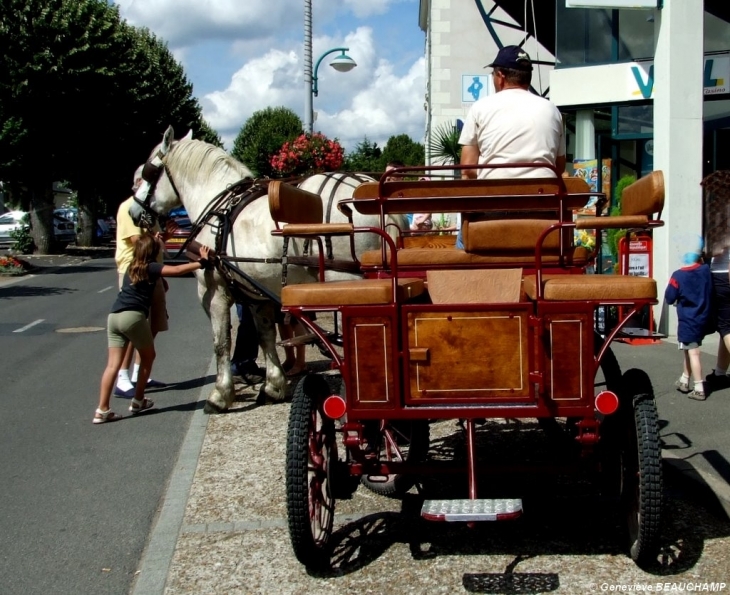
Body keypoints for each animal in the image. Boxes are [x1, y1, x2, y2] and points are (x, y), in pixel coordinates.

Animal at [130, 127, 404, 414]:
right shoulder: (256, 294)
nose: (134, 211)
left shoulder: (213, 290)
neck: (219, 208)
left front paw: (220, 395)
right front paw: (273, 386)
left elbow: (221, 342)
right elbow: (266, 336)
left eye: (144, 174)